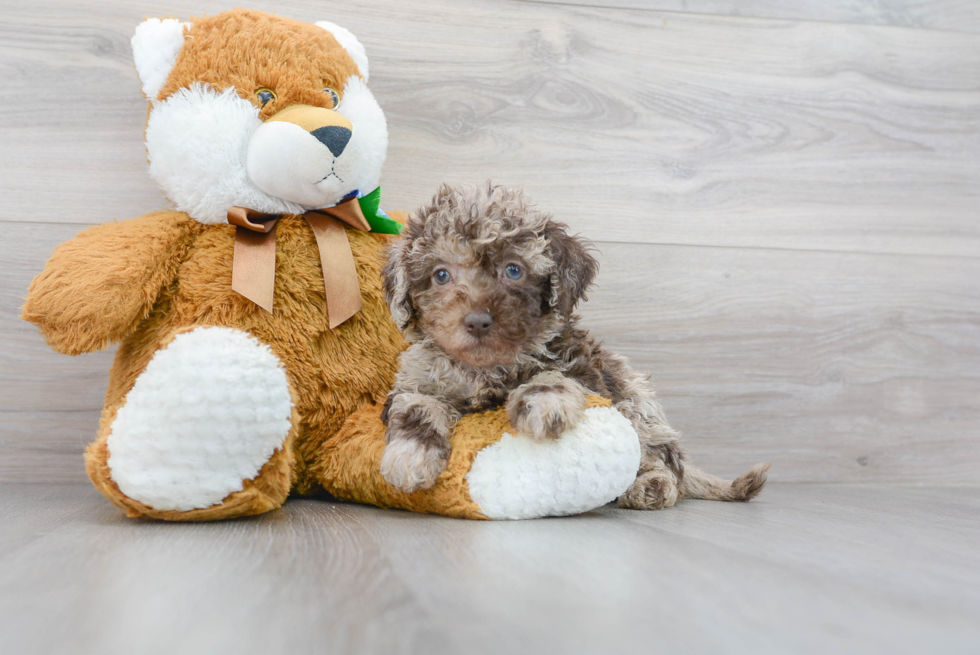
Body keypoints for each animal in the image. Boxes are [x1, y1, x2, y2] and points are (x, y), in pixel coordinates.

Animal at [378, 182, 768, 510]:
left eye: (513, 270)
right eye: (441, 275)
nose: (476, 321)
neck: (486, 368)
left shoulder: (582, 369)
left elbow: (553, 375)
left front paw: (544, 402)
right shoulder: (418, 379)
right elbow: (416, 406)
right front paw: (409, 457)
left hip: (636, 401)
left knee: (662, 459)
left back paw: (651, 485)